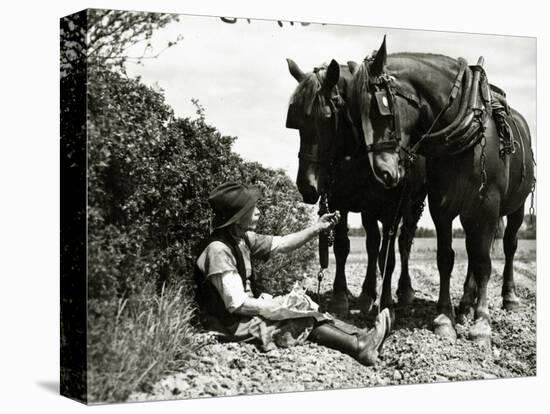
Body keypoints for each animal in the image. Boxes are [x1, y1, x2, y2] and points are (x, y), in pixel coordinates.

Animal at [286, 58, 430, 316]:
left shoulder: (392, 207)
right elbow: (343, 247)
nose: (307, 186)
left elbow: (386, 253)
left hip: (413, 205)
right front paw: (341, 296)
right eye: (297, 122)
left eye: (326, 117)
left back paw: (403, 290)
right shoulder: (342, 202)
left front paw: (383, 299)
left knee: (404, 242)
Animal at [352, 37, 536, 346]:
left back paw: (508, 298)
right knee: (472, 253)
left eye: (380, 109)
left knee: (508, 246)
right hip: (469, 214)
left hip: (515, 208)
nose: (382, 171)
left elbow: (484, 263)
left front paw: (482, 324)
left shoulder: (488, 206)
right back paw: (464, 304)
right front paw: (444, 318)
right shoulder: (442, 207)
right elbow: (446, 258)